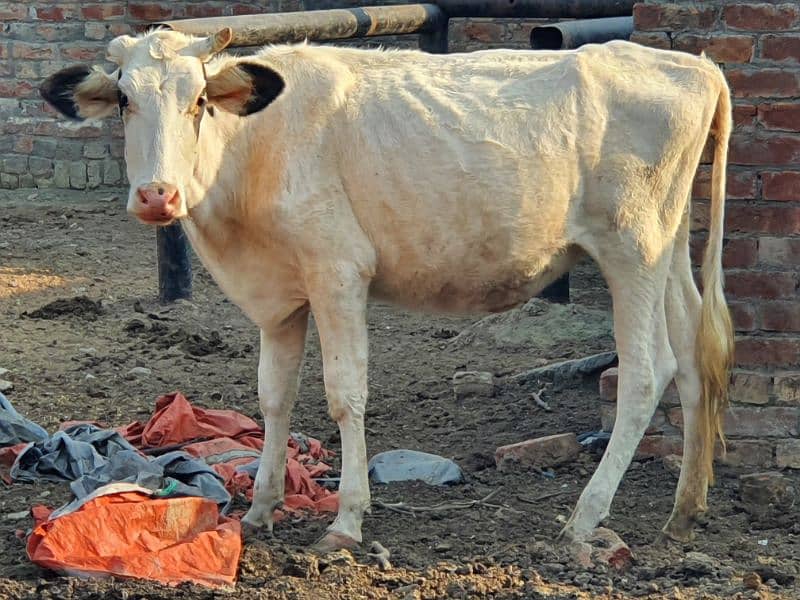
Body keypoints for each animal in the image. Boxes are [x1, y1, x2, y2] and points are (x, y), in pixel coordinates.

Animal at [42, 27, 732, 552]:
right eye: (124, 99)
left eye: (200, 102)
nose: (157, 195)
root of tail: (690, 63)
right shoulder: (280, 297)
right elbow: (273, 398)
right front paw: (260, 508)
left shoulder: (338, 272)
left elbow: (344, 395)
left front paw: (346, 520)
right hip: (668, 249)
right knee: (692, 356)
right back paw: (685, 510)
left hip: (630, 250)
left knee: (645, 374)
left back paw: (586, 516)